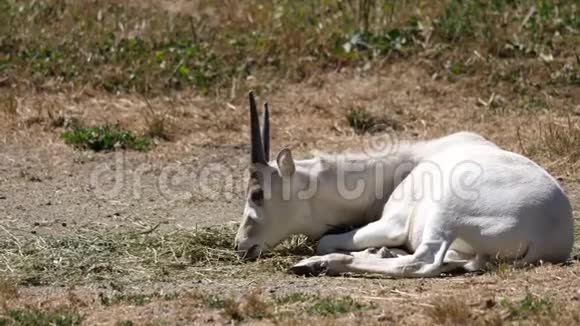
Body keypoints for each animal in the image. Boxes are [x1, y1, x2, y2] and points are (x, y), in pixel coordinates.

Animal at [233, 91, 572, 278]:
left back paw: (319, 264)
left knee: (423, 262)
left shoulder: (392, 223)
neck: (404, 163)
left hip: (445, 211)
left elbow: (325, 240)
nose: (240, 245)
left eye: (257, 194)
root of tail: (550, 234)